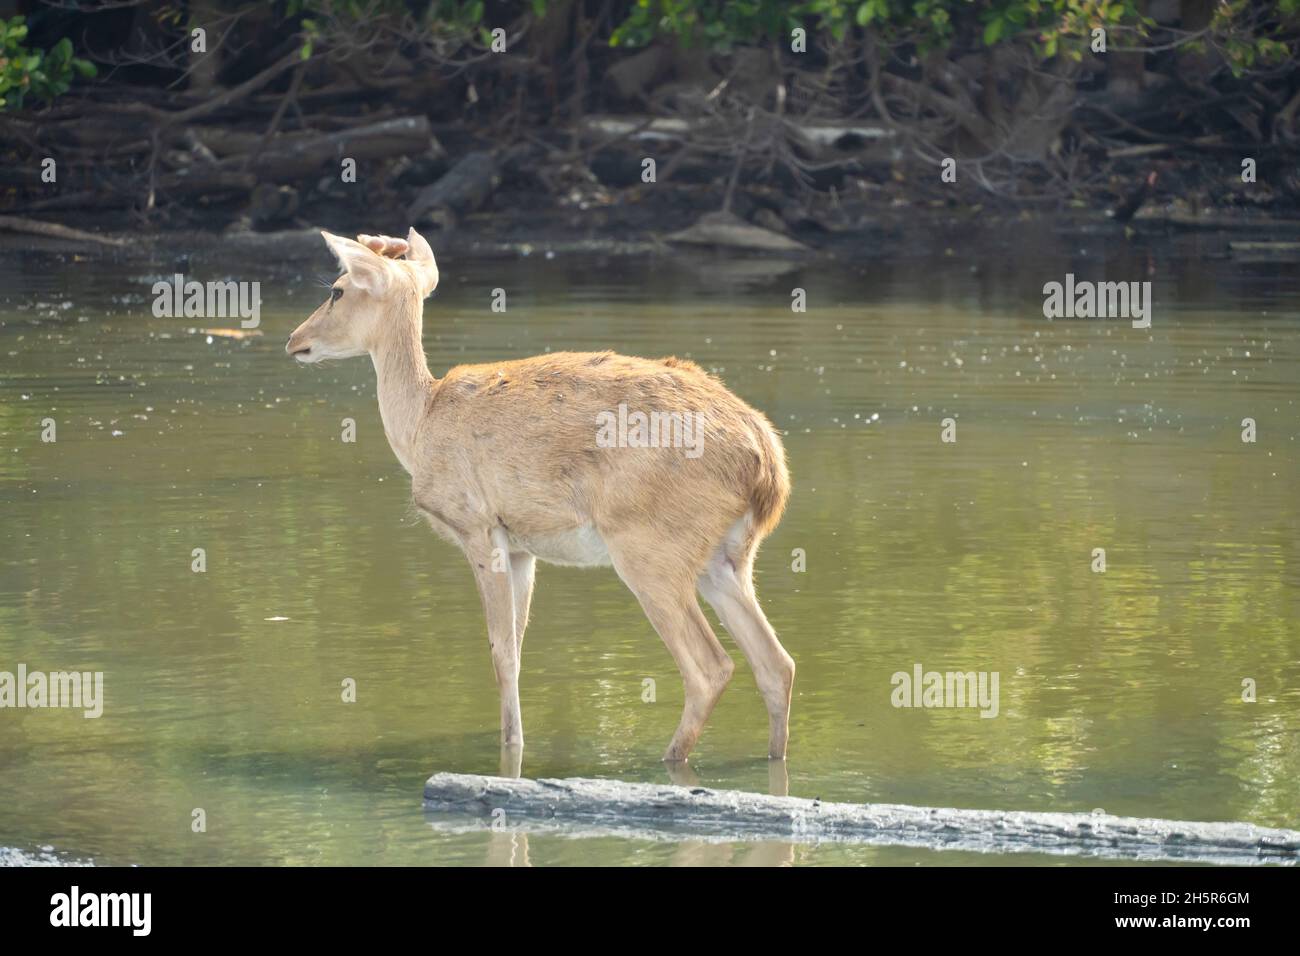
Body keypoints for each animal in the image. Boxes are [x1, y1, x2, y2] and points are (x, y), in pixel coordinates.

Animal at [285, 228, 794, 766]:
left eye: (337, 289)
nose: (294, 340)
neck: (420, 423)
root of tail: (769, 465)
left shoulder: (476, 525)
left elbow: (500, 652)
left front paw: (511, 746)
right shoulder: (523, 547)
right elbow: (517, 648)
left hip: (650, 547)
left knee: (710, 666)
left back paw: (668, 757)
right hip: (727, 557)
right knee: (777, 664)